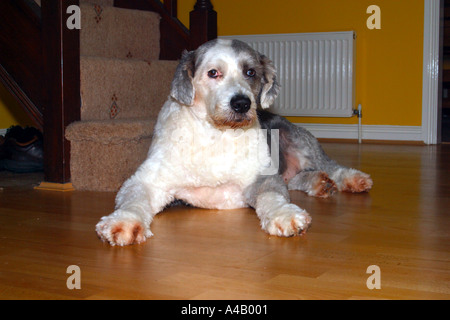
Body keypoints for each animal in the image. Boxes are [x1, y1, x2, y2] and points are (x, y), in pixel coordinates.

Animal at [95, 38, 372, 246]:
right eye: (213, 73)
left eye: (251, 72)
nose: (241, 103)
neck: (217, 135)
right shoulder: (148, 179)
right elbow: (133, 198)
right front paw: (123, 223)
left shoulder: (261, 175)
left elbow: (272, 195)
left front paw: (285, 216)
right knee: (294, 178)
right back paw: (319, 183)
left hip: (297, 139)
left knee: (330, 165)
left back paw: (351, 179)